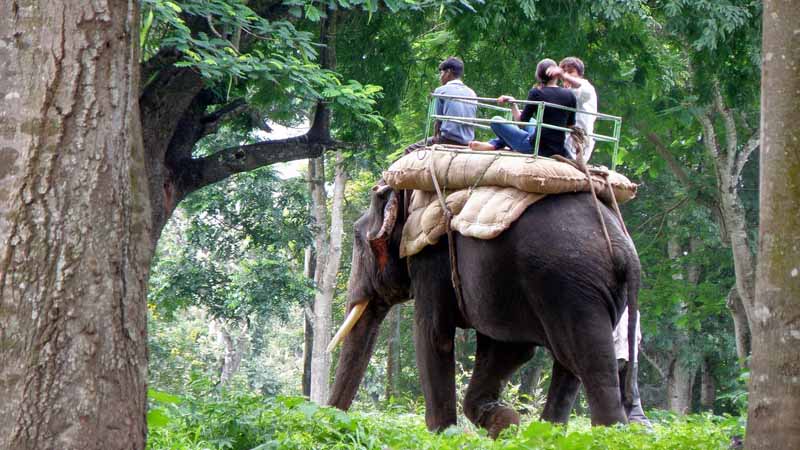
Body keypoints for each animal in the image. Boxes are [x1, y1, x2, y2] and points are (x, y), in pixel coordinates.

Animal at [328, 183, 640, 438]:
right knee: (571, 367)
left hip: (569, 286)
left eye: (357, 237)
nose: (333, 421)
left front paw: (445, 436)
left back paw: (609, 434)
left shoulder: (431, 259)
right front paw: (505, 424)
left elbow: (434, 336)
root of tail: (625, 250)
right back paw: (548, 434)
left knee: (589, 364)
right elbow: (508, 350)